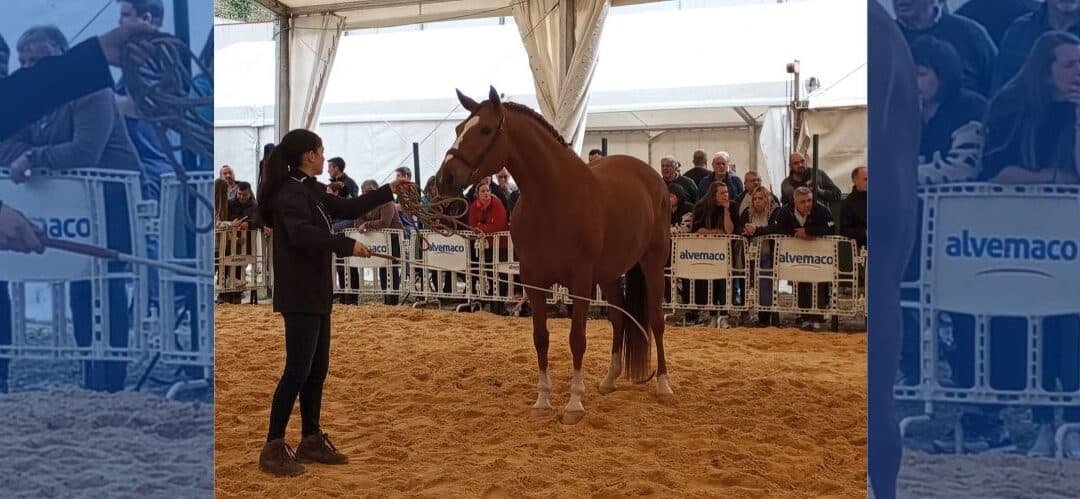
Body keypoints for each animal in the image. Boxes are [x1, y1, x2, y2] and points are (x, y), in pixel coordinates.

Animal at [432, 86, 674, 425]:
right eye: (457, 129)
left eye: (486, 129)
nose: (444, 179)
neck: (552, 199)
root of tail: (652, 177)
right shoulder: (533, 281)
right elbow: (541, 338)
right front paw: (543, 400)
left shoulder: (581, 282)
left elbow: (577, 339)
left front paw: (574, 404)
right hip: (609, 273)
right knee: (618, 317)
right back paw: (609, 379)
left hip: (652, 261)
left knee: (655, 319)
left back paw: (663, 385)